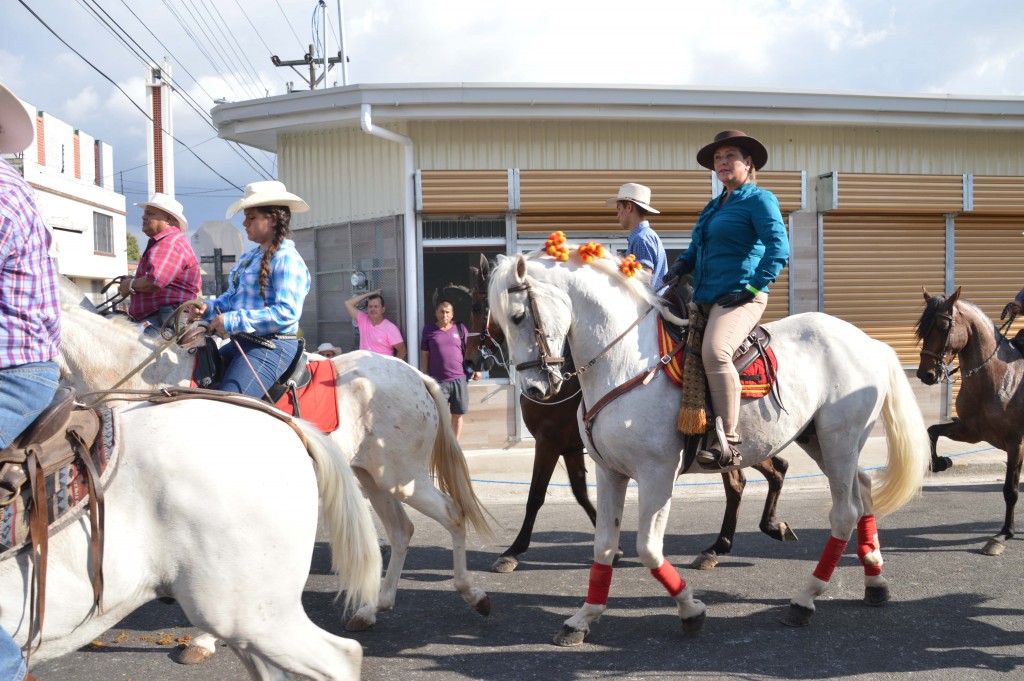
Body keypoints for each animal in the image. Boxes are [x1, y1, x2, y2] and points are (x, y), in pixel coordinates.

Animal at [58, 280, 493, 647]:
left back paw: (472, 593)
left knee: (452, 515)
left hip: (402, 477)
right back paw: (372, 607)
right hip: (371, 477)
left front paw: (205, 639)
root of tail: (417, 375)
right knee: (402, 531)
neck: (153, 384)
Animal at [466, 251, 798, 569]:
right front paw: (612, 544)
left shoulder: (549, 442)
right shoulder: (573, 446)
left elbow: (536, 495)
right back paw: (737, 539)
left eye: (479, 306)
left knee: (745, 479)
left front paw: (512, 551)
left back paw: (725, 544)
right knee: (768, 471)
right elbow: (580, 492)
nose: (470, 359)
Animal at [917, 286, 1019, 552]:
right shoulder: (972, 431)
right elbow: (932, 431)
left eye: (943, 327)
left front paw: (1003, 534)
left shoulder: (1016, 443)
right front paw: (941, 462)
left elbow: (1011, 490)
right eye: (922, 329)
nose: (925, 374)